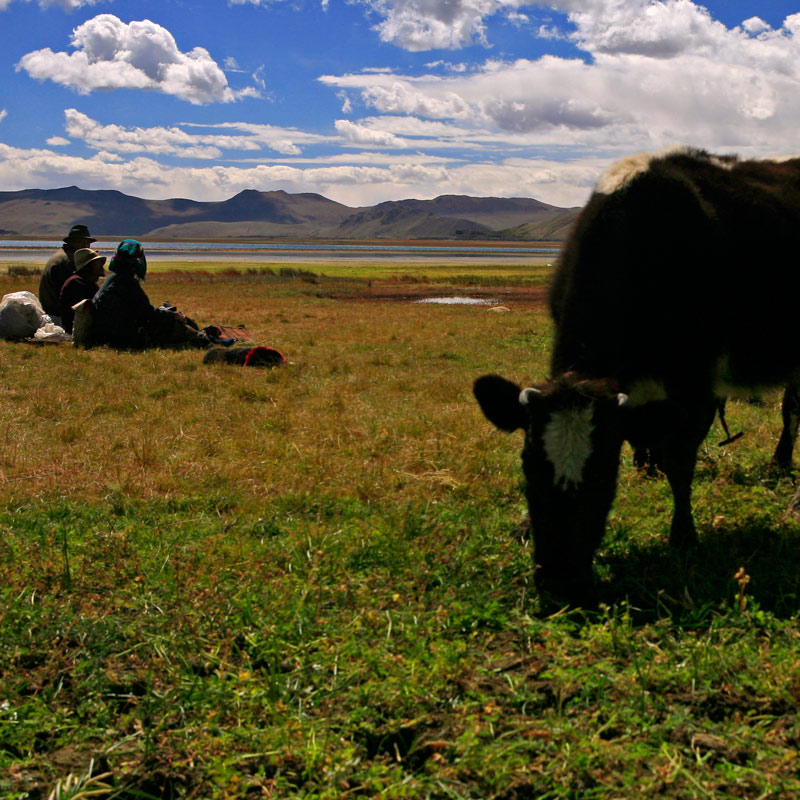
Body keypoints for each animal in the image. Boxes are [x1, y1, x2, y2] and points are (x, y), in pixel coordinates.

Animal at [476, 147, 800, 604]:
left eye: (602, 473)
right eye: (529, 467)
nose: (561, 586)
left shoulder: (696, 386)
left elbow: (679, 463)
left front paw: (683, 537)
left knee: (792, 409)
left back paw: (781, 461)